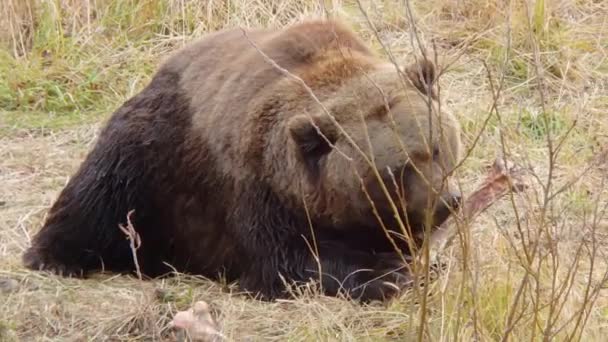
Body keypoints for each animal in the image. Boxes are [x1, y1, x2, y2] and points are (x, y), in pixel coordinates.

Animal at [22, 19, 460, 302]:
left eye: (436, 146)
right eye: (396, 170)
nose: (446, 201)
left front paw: (418, 263)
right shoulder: (255, 186)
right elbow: (288, 260)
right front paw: (386, 274)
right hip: (147, 158)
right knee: (97, 197)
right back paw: (53, 257)